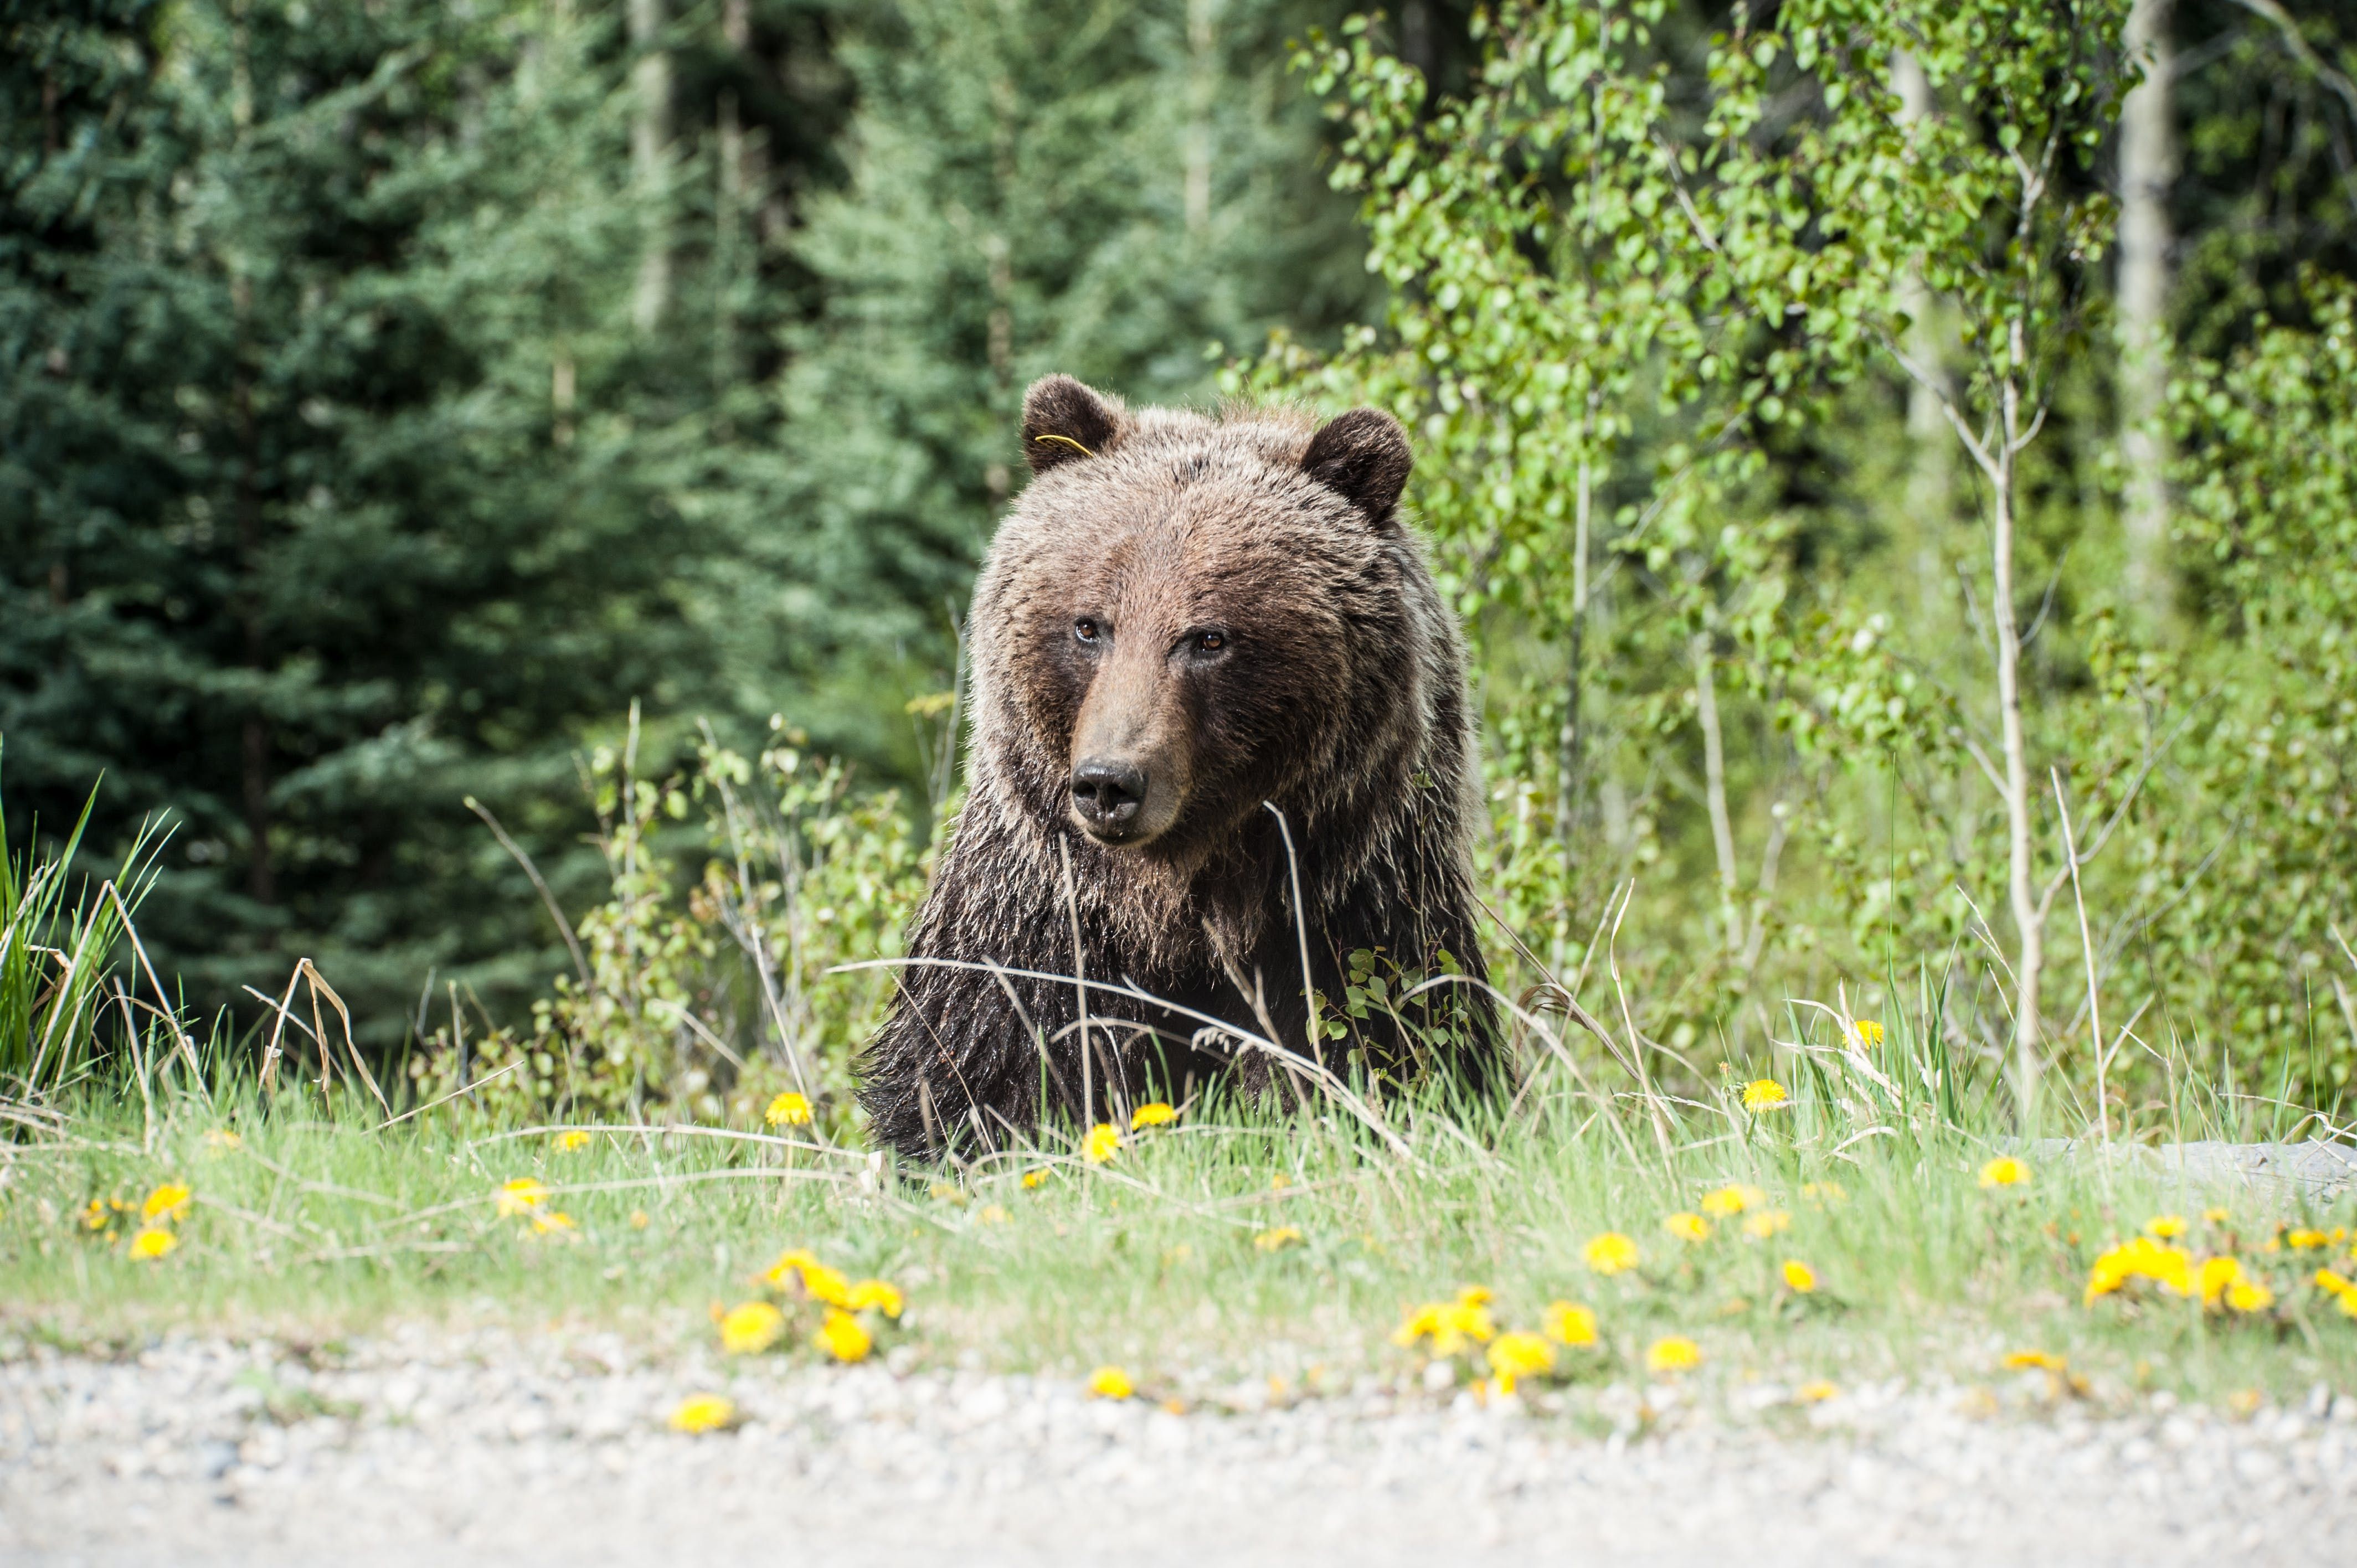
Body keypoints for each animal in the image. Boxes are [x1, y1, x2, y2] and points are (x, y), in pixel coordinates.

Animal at [862, 372, 1489, 1155]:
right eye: (1089, 625)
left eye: (1208, 638)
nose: (1109, 783)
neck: (1180, 903)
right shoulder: (1039, 921)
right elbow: (983, 1074)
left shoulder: (1350, 910)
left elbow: (1384, 1045)